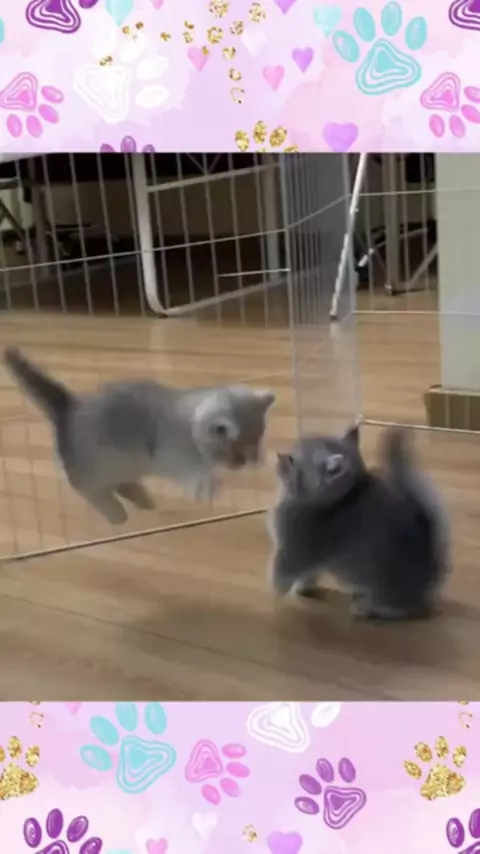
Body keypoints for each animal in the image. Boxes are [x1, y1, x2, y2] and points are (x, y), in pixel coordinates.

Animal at [4, 347, 275, 525]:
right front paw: (206, 486)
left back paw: (143, 500)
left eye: (255, 443)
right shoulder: (171, 453)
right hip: (92, 470)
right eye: (236, 450)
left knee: (121, 485)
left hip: (119, 467)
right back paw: (116, 513)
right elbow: (190, 471)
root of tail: (69, 408)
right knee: (86, 488)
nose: (244, 462)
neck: (186, 421)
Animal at [267, 424, 449, 620]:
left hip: (383, 585)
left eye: (293, 460)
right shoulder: (313, 558)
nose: (281, 458)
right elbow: (310, 572)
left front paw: (277, 590)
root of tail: (431, 582)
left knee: (394, 608)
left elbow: (282, 570)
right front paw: (303, 587)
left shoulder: (296, 547)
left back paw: (363, 607)